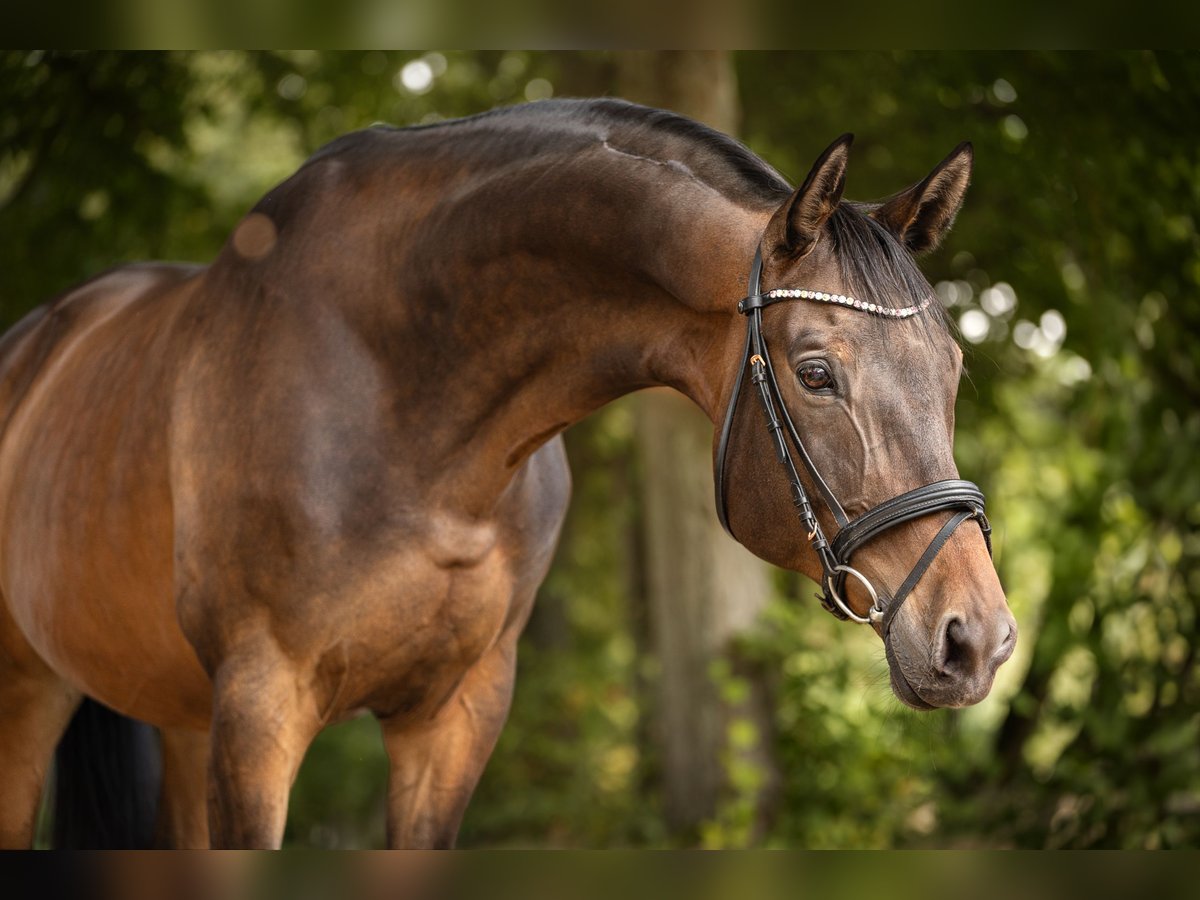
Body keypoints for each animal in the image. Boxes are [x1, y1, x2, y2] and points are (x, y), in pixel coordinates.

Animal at [0, 98, 1016, 849]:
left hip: (179, 720)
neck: (410, 401)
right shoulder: (259, 708)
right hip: (33, 700)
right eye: (815, 374)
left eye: (954, 366)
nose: (978, 639)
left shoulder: (455, 717)